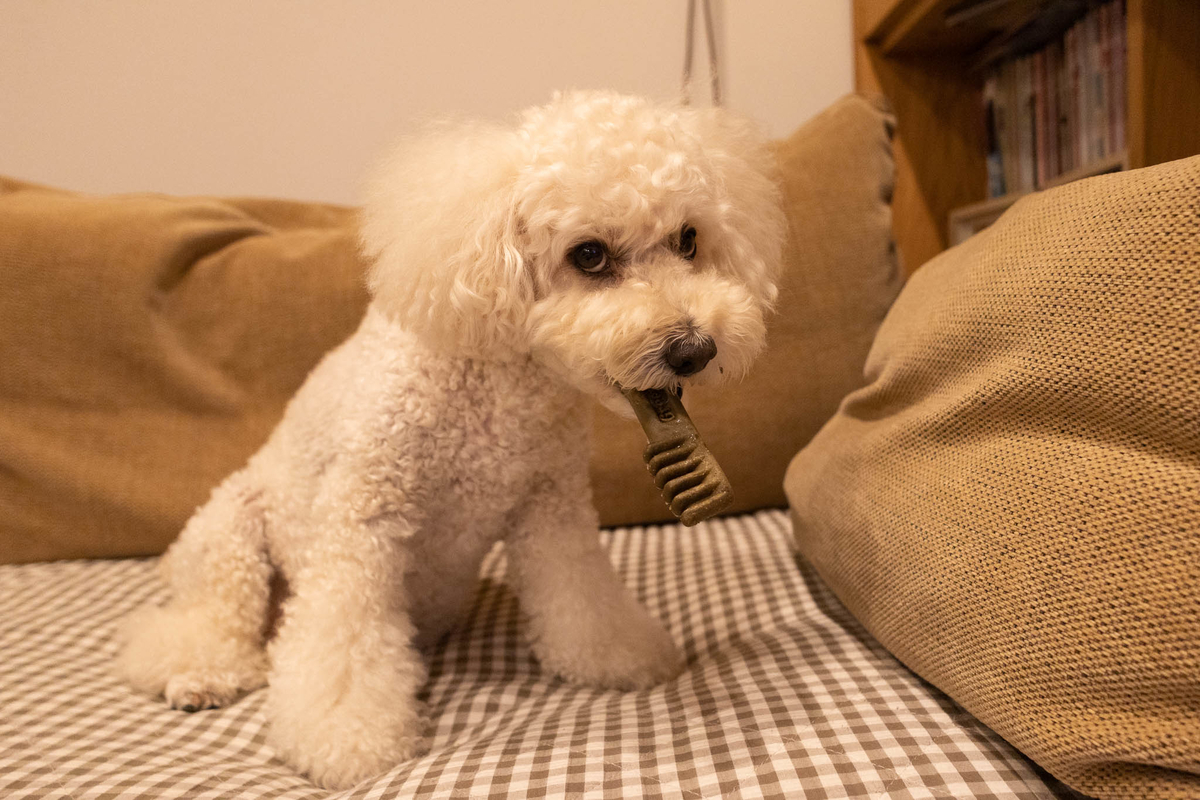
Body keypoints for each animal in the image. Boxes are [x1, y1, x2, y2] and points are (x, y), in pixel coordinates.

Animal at [117, 90, 786, 789]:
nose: (696, 350)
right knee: (200, 622)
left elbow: (581, 597)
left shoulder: (552, 510)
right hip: (229, 532)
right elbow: (345, 639)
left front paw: (620, 656)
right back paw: (196, 673)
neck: (500, 386)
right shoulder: (361, 523)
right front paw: (346, 736)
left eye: (689, 239)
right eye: (589, 255)